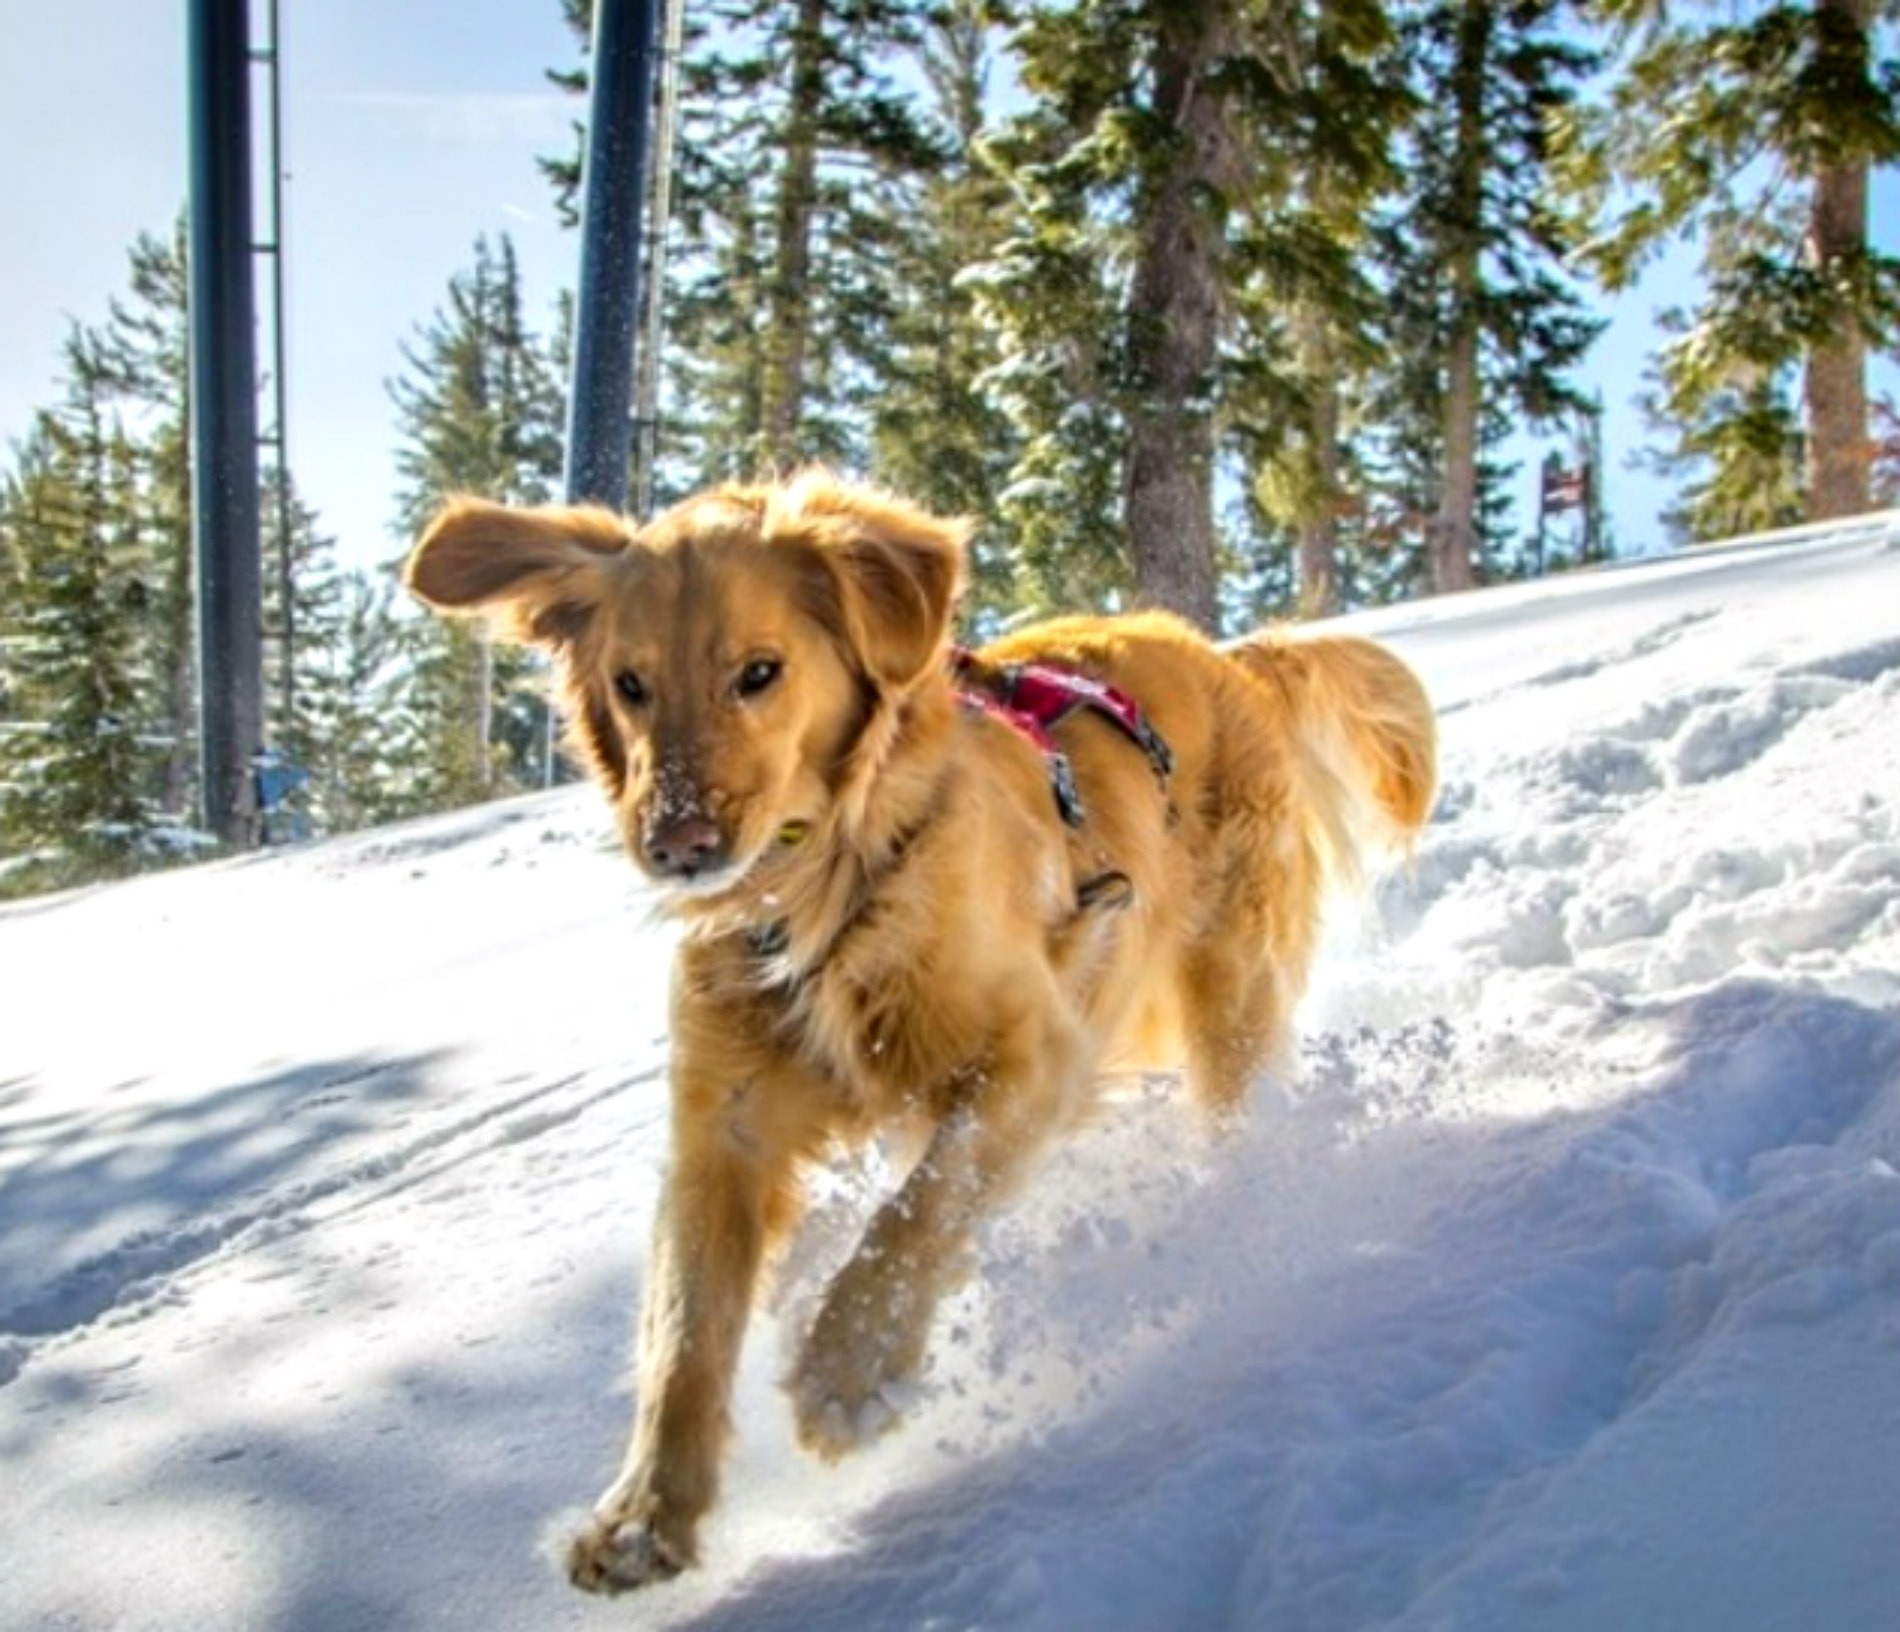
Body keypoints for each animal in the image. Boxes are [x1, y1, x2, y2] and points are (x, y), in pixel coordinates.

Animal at [404, 473, 1436, 1595]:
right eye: (630, 684)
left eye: (758, 672)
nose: (680, 845)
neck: (819, 896)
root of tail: (1227, 655)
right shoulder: (720, 1133)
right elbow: (684, 1329)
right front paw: (642, 1517)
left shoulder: (1035, 1051)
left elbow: (917, 1209)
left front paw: (847, 1373)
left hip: (1228, 992)